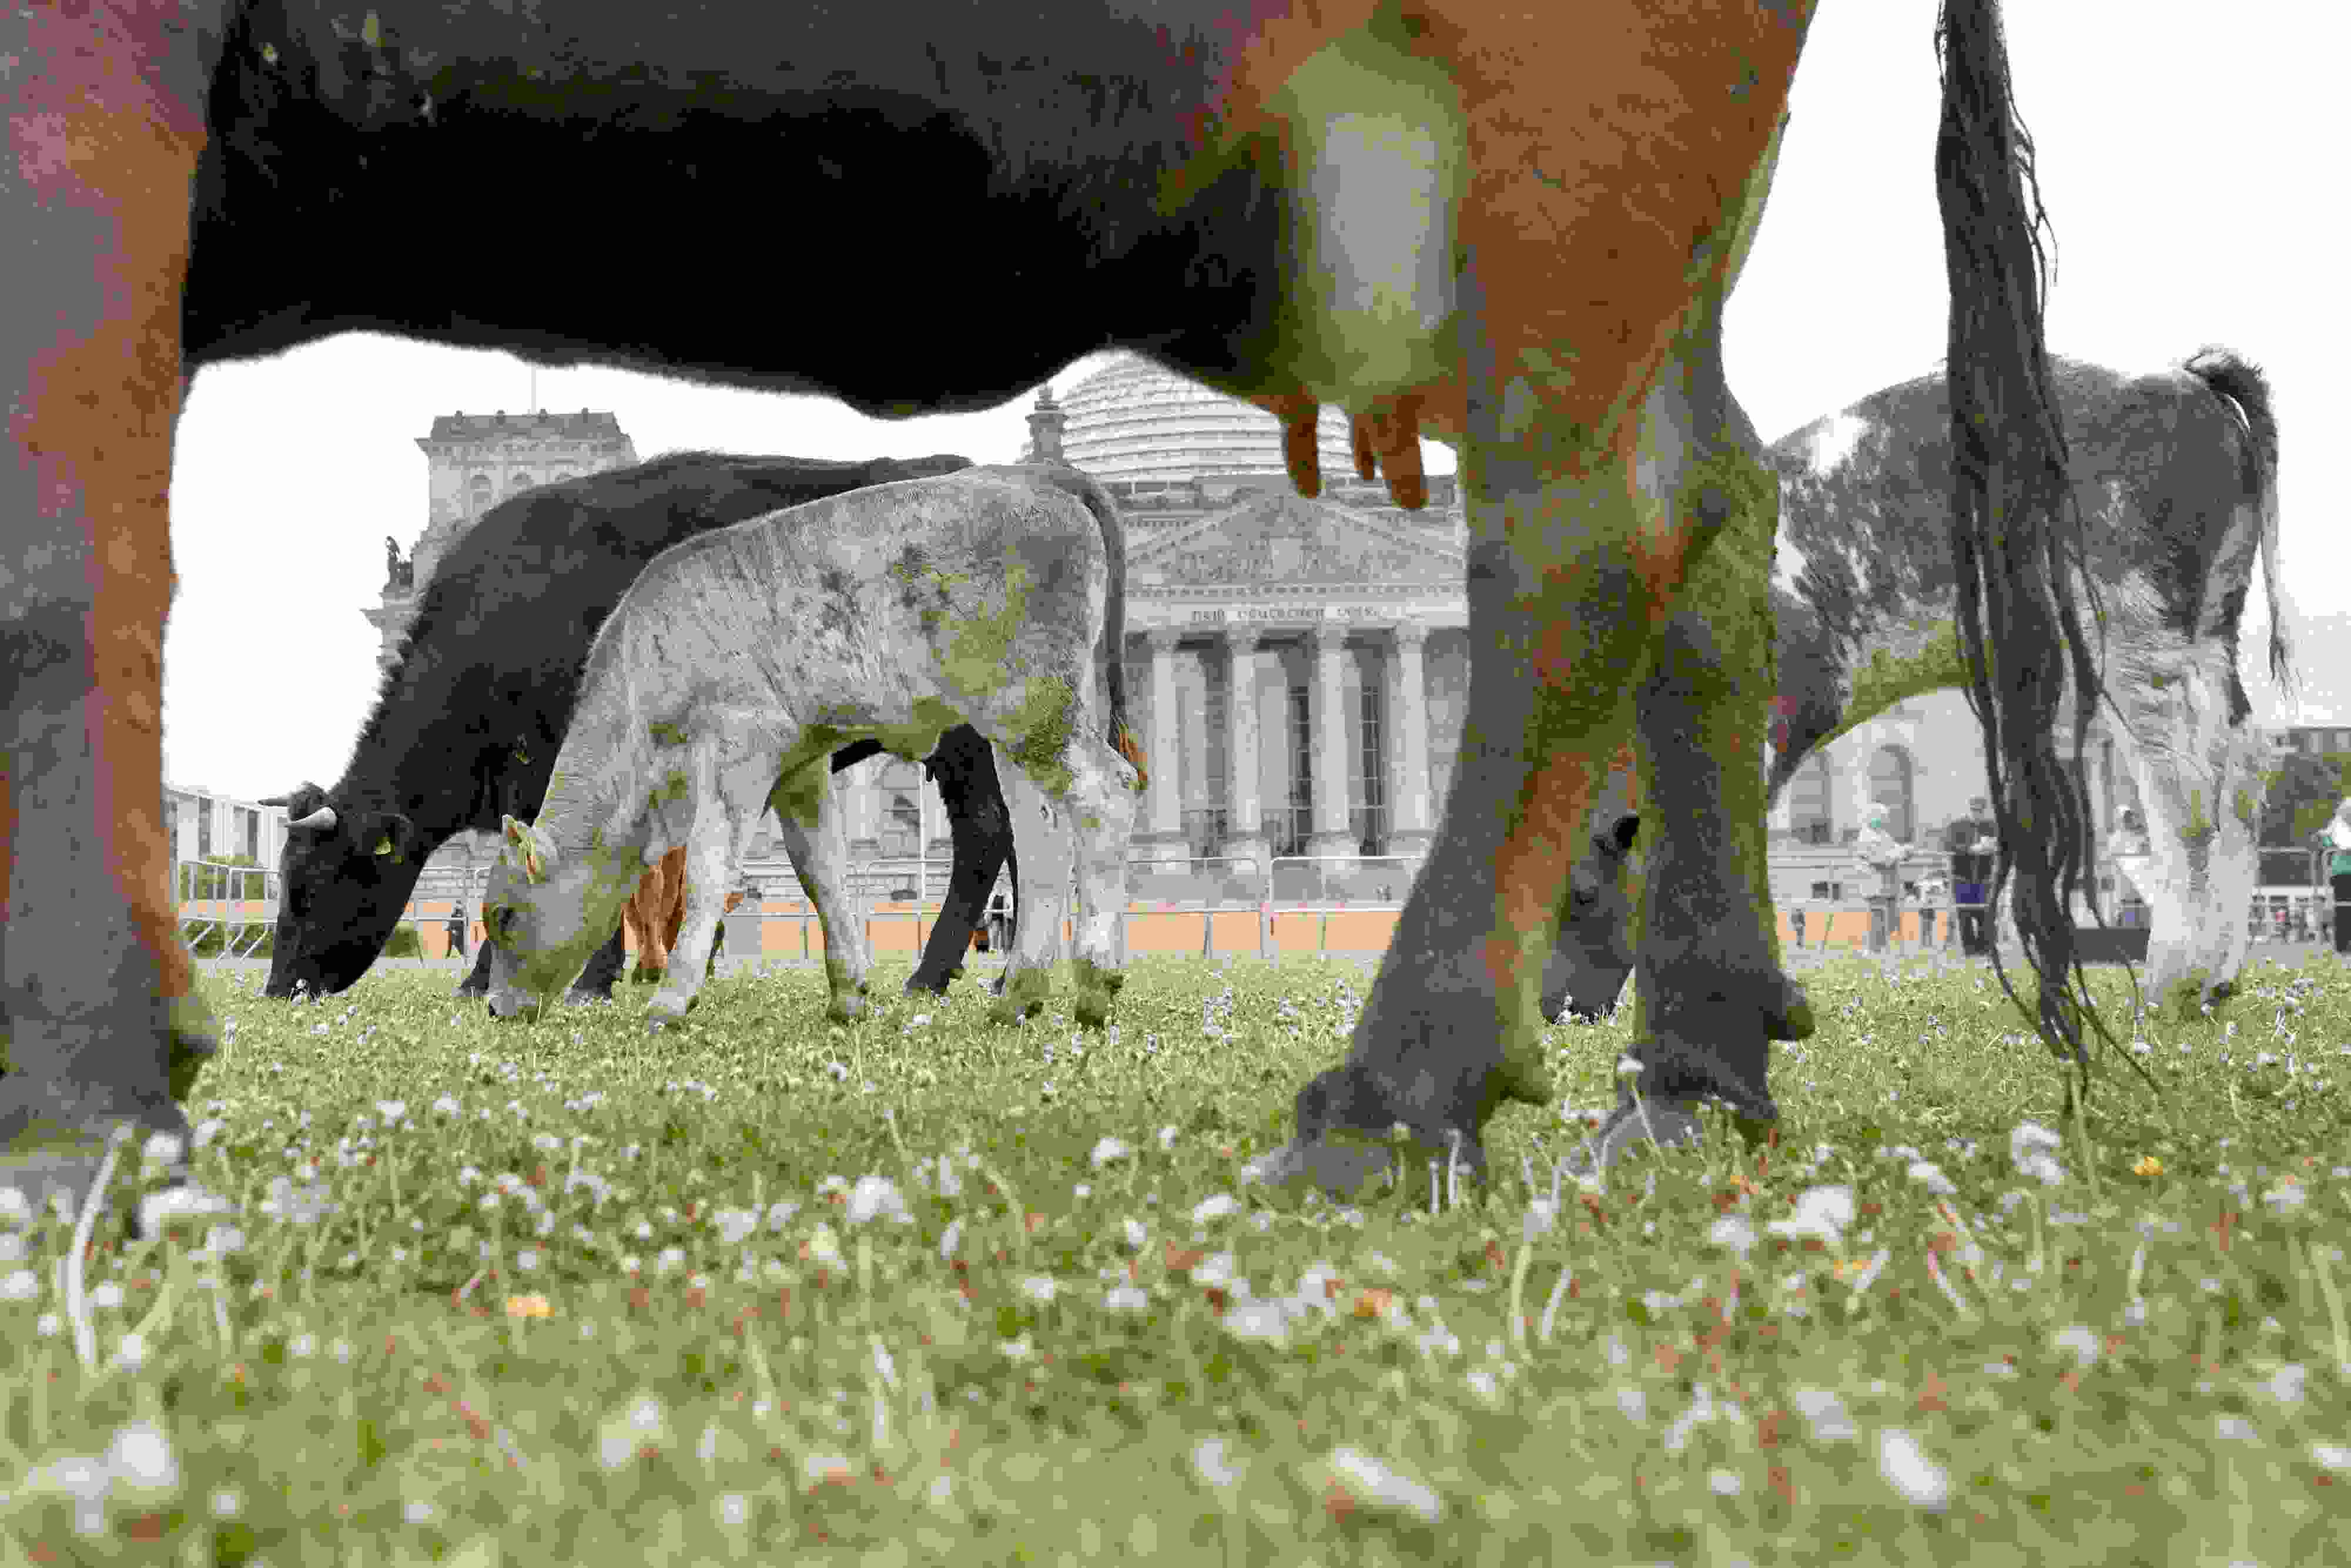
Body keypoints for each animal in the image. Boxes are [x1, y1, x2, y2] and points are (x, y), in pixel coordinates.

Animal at [257, 452, 1020, 1009]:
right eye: (283, 880)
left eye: (311, 884)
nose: (277, 987)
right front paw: (504, 976)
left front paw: (574, 980)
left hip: (969, 736)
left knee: (985, 834)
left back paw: (933, 974)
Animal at [483, 465, 1144, 1031]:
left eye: (504, 915)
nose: (493, 1007)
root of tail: (1035, 475)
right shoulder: (800, 765)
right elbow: (820, 868)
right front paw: (848, 992)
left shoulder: (742, 748)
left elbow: (708, 871)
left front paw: (672, 998)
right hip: (1017, 731)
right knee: (1042, 840)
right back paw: (1019, 996)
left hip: (1034, 708)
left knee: (1106, 794)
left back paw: (1094, 983)